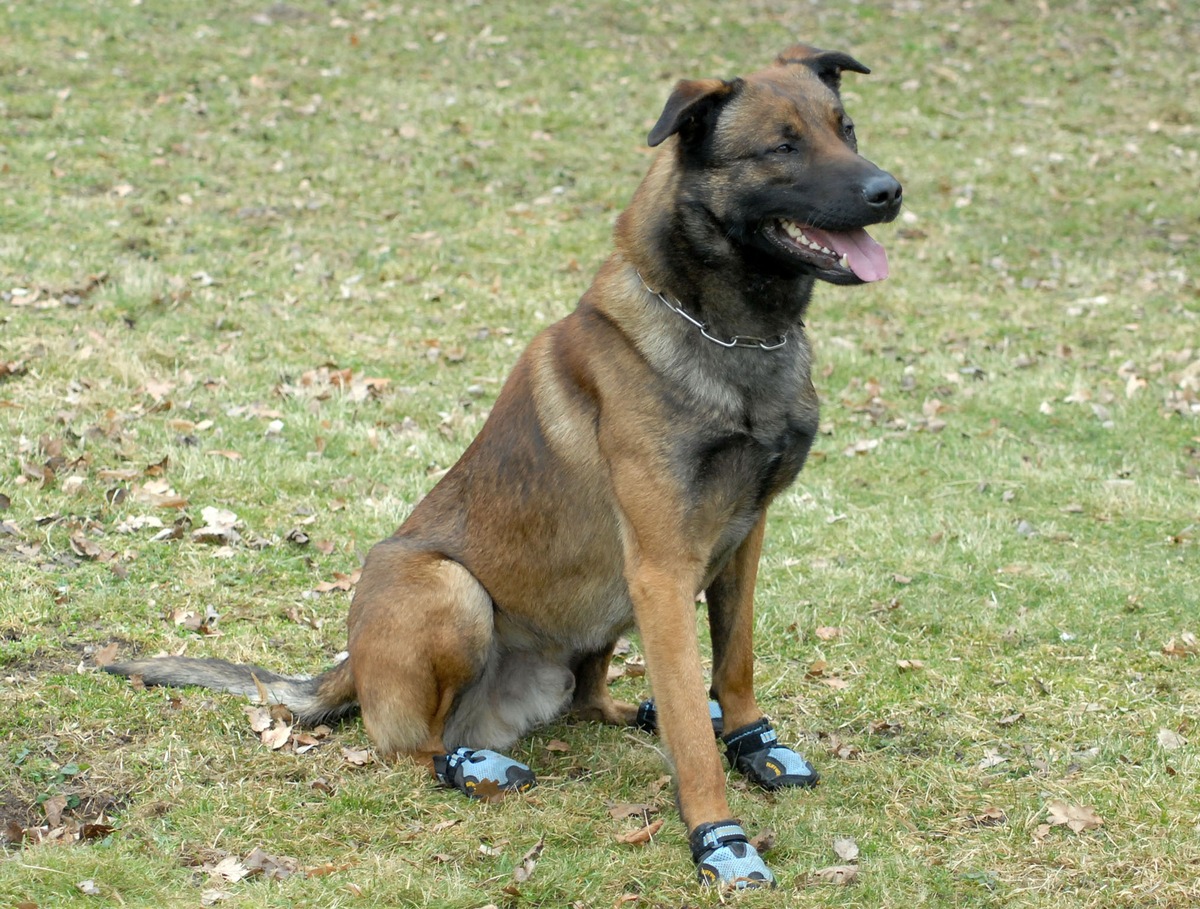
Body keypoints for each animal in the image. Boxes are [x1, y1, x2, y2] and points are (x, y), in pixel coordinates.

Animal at [108, 44, 902, 892]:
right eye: (782, 146)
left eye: (846, 128)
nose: (889, 190)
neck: (732, 335)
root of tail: (349, 668)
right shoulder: (662, 568)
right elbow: (693, 732)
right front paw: (718, 834)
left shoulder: (744, 539)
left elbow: (735, 662)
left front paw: (753, 740)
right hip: (450, 590)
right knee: (410, 745)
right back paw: (470, 764)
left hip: (598, 616)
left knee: (590, 697)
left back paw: (628, 709)